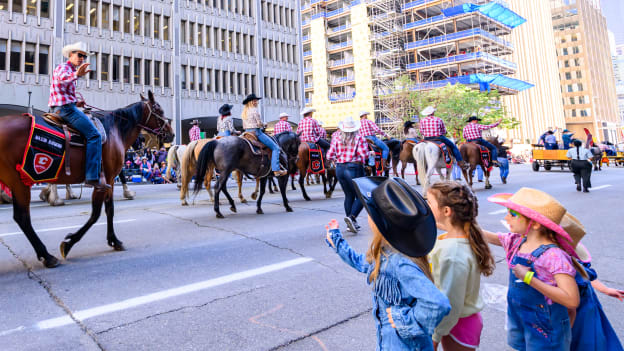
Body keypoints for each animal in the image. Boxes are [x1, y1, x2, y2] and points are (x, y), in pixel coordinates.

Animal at [0, 91, 173, 270]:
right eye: (159, 110)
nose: (171, 134)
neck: (115, 130)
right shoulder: (105, 180)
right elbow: (96, 214)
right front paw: (69, 243)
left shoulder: (108, 181)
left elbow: (109, 210)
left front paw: (113, 240)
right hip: (19, 181)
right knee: (22, 217)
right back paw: (47, 255)